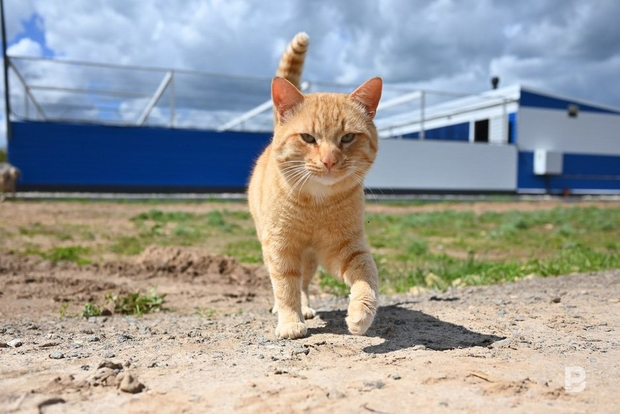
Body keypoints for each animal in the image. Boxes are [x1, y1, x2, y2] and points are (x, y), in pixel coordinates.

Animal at [248, 32, 382, 339]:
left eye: (347, 137)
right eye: (308, 138)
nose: (329, 160)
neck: (316, 205)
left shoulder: (346, 248)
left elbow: (366, 275)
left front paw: (361, 314)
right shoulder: (281, 248)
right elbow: (285, 287)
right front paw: (289, 321)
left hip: (309, 259)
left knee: (305, 283)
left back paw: (307, 307)